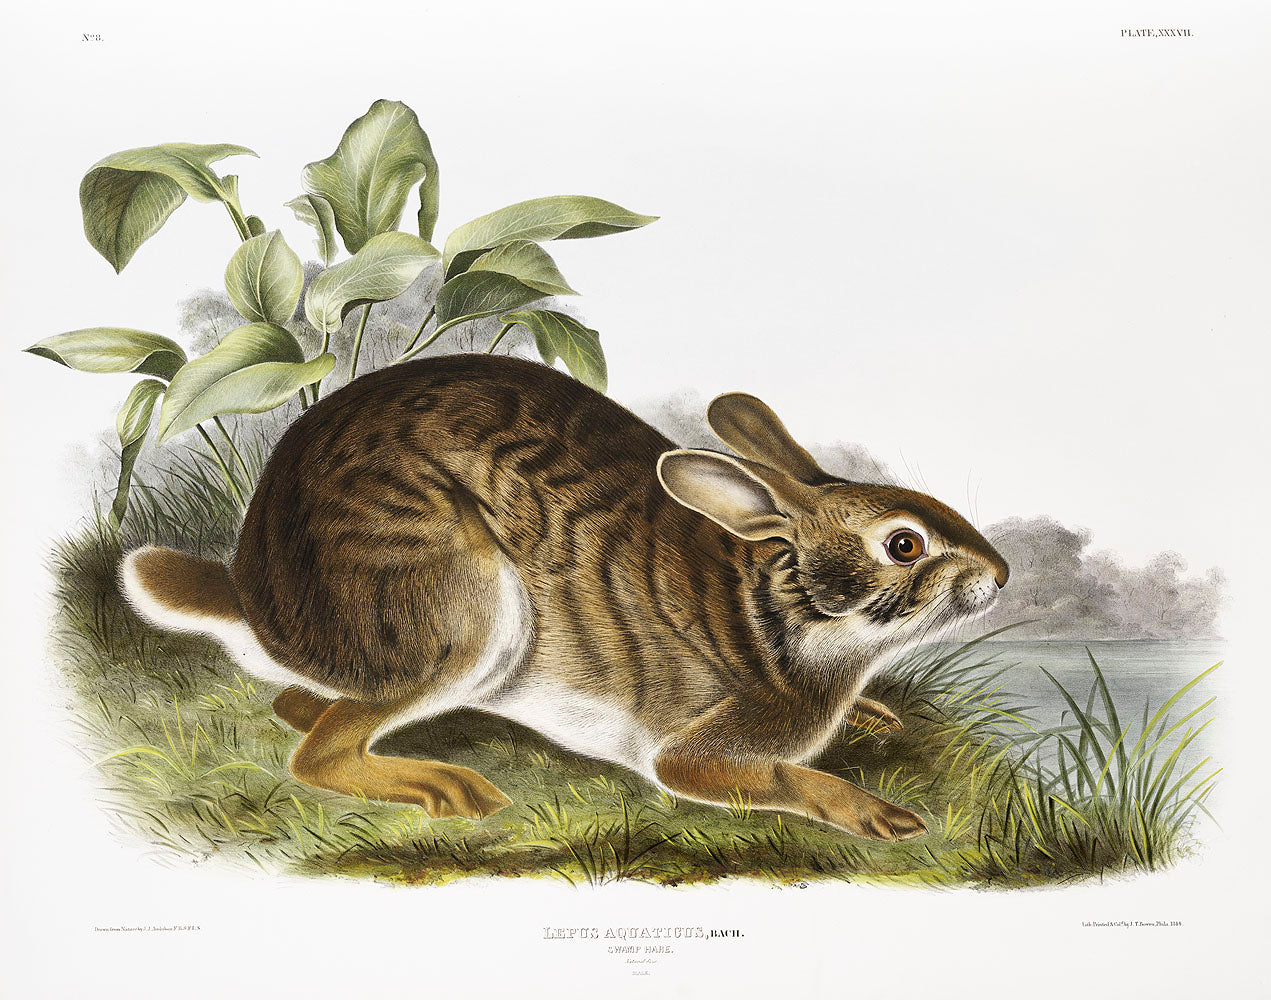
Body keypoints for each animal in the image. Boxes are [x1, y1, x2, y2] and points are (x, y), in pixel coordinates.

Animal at [120, 352, 1008, 841]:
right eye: (903, 545)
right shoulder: (695, 751)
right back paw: (439, 784)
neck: (785, 610)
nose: (1000, 576)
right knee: (319, 751)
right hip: (463, 608)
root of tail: (256, 603)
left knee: (300, 710)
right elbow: (765, 778)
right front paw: (873, 814)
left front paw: (875, 716)